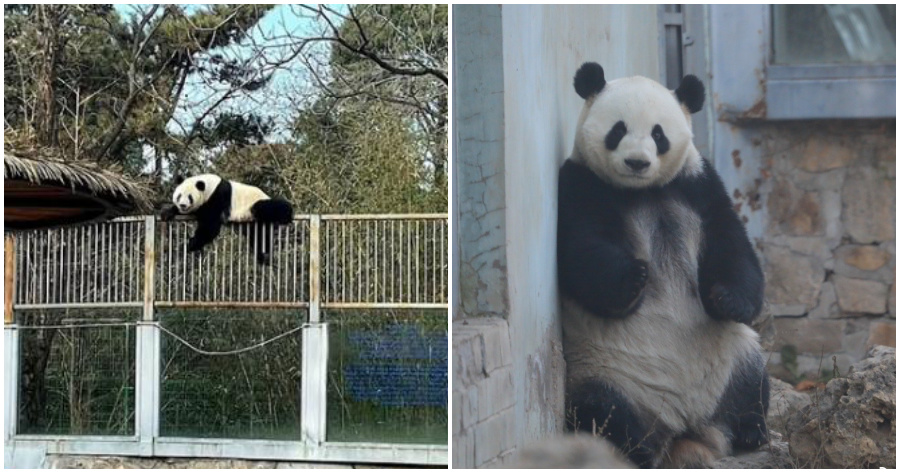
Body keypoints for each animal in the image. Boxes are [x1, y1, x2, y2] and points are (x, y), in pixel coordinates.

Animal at [160, 174, 294, 264]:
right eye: (179, 196)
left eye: (190, 197)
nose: (183, 205)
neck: (210, 186)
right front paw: (167, 213)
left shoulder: (217, 198)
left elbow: (210, 227)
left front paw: (191, 244)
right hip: (255, 225)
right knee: (260, 237)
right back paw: (264, 257)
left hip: (256, 205)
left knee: (269, 207)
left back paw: (287, 215)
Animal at [557, 62, 769, 468]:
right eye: (618, 130)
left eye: (658, 134)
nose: (637, 162)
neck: (643, 190)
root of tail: (684, 427)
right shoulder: (582, 185)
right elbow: (582, 249)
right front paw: (634, 279)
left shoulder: (698, 185)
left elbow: (731, 244)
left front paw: (727, 300)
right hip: (603, 370)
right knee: (601, 410)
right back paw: (631, 450)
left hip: (733, 358)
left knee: (752, 384)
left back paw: (750, 432)